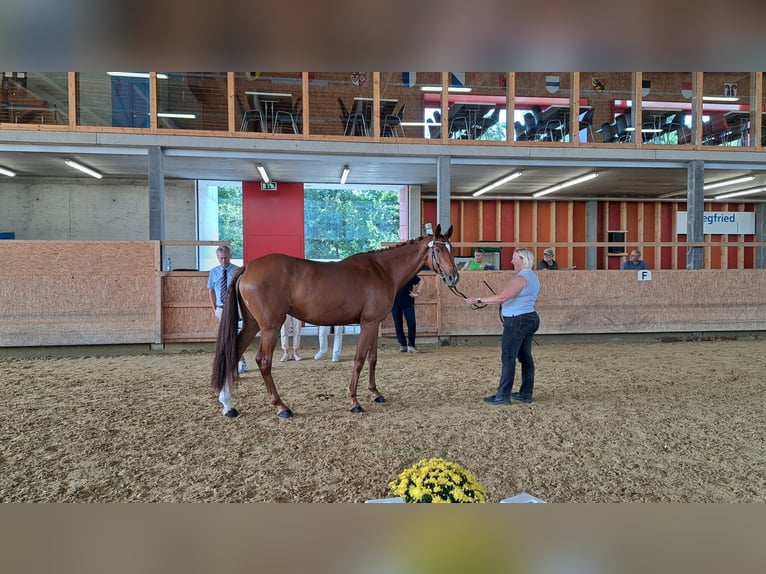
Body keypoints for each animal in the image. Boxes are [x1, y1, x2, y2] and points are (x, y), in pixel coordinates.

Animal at [213, 224, 460, 418]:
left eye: (452, 249)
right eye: (438, 249)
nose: (453, 277)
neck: (382, 270)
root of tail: (248, 267)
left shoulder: (374, 323)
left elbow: (372, 359)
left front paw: (375, 393)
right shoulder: (368, 323)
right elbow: (360, 359)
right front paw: (354, 401)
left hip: (252, 324)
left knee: (233, 352)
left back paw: (228, 404)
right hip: (270, 327)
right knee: (263, 361)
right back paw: (281, 406)